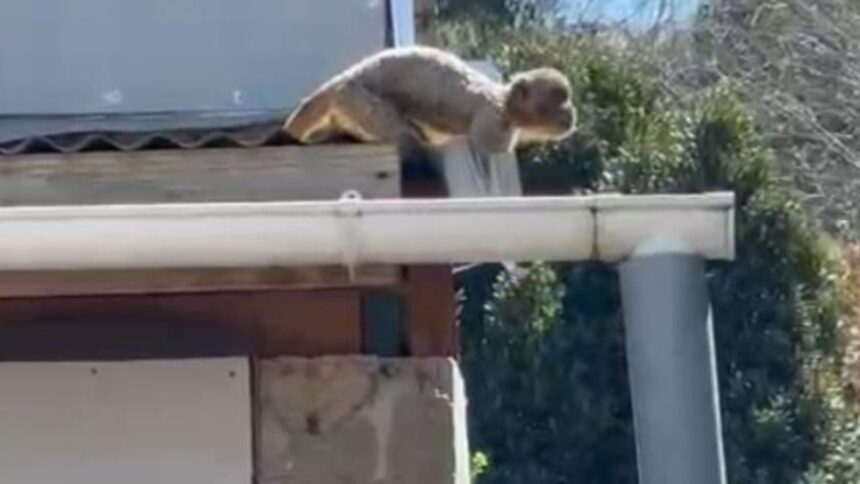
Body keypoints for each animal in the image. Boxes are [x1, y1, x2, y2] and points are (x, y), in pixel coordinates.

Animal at [280, 46, 576, 156]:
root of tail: (343, 78)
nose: (570, 113)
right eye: (559, 100)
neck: (505, 103)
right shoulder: (493, 119)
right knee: (398, 128)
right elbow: (487, 149)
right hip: (355, 96)